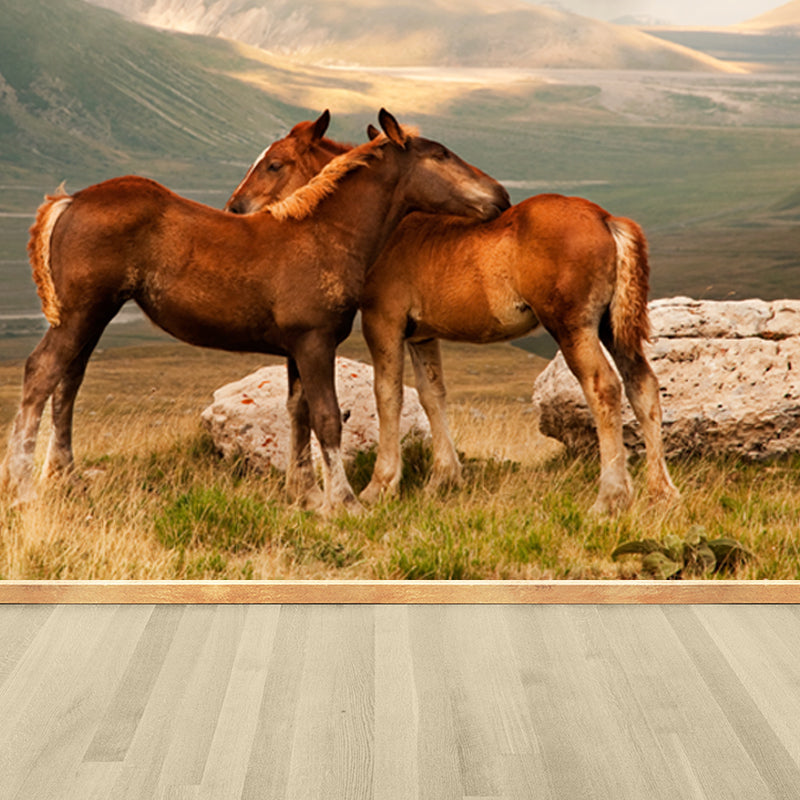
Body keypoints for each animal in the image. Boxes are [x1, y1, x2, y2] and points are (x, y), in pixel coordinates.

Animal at [0, 109, 510, 515]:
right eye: (441, 154)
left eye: (275, 163)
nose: (501, 195)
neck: (325, 233)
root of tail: (71, 200)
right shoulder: (314, 341)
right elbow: (327, 418)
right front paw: (343, 502)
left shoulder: (296, 348)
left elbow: (298, 412)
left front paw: (306, 496)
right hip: (81, 314)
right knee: (41, 372)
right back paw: (23, 488)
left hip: (93, 317)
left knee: (68, 382)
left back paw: (66, 478)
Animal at [225, 115, 679, 514]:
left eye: (274, 164)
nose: (234, 208)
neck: (388, 228)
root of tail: (606, 218)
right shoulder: (422, 334)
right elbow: (432, 395)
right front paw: (444, 479)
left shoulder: (383, 322)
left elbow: (388, 395)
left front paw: (380, 486)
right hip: (611, 327)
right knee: (643, 386)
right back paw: (661, 492)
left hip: (572, 326)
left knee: (604, 388)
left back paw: (611, 497)